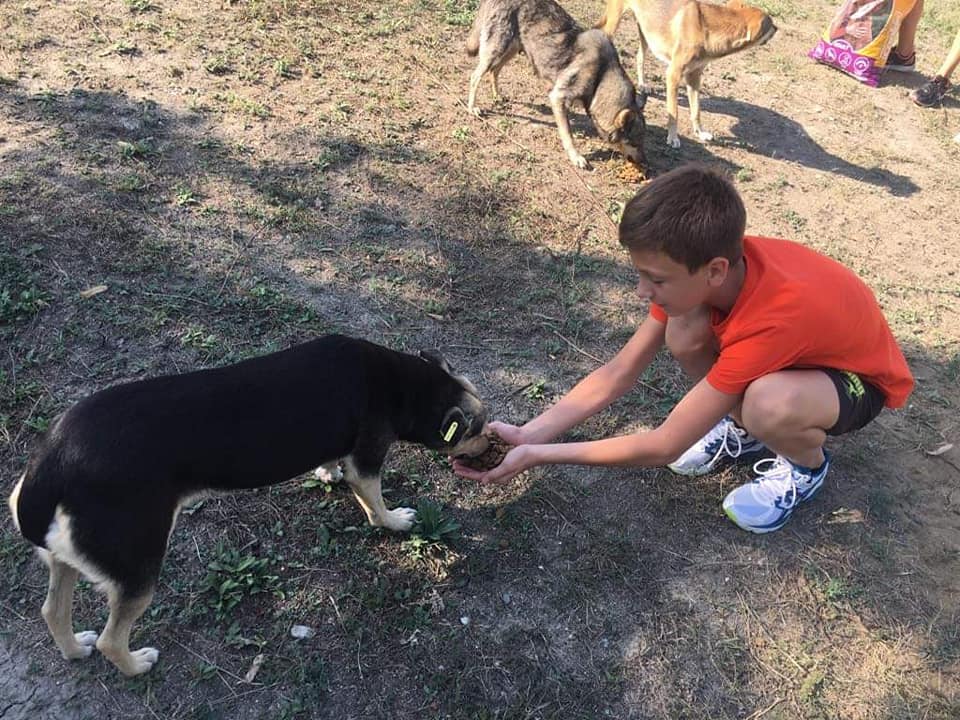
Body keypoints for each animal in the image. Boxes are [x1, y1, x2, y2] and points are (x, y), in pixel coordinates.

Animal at [7, 335, 489, 676]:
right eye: (479, 430)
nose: (491, 442)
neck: (403, 382)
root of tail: (51, 463)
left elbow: (332, 461)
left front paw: (327, 473)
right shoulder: (368, 462)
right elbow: (374, 504)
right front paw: (394, 521)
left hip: (68, 558)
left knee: (53, 610)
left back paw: (75, 650)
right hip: (137, 565)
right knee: (112, 638)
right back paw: (136, 665)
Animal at [466, 0, 647, 170]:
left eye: (642, 144)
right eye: (635, 144)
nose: (644, 163)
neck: (601, 76)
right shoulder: (557, 98)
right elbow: (568, 135)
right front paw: (576, 157)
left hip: (511, 50)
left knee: (494, 71)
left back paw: (497, 95)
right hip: (495, 51)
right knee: (475, 77)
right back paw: (472, 107)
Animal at [596, 0, 777, 147]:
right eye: (771, 24)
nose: (777, 28)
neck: (706, 30)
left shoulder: (694, 77)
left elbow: (696, 110)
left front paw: (700, 133)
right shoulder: (673, 74)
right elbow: (673, 112)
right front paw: (672, 138)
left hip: (646, 31)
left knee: (639, 56)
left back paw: (643, 84)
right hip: (615, 20)